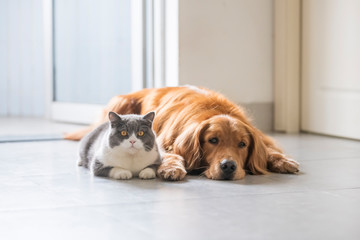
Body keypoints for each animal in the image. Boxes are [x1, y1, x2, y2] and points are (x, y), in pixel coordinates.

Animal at [66, 86, 300, 180]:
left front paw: (283, 161)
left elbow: (270, 149)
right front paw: (172, 168)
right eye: (213, 140)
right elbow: (171, 155)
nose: (228, 166)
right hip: (120, 102)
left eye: (242, 144)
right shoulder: (164, 142)